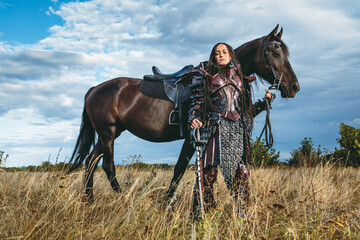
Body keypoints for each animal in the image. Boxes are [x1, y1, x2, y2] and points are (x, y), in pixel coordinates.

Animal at [67, 24, 298, 202]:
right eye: (276, 53)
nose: (294, 87)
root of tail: (94, 89)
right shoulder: (192, 137)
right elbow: (179, 170)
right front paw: (166, 204)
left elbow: (182, 171)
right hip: (108, 134)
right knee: (107, 166)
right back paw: (122, 198)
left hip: (109, 134)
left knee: (90, 162)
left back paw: (89, 200)